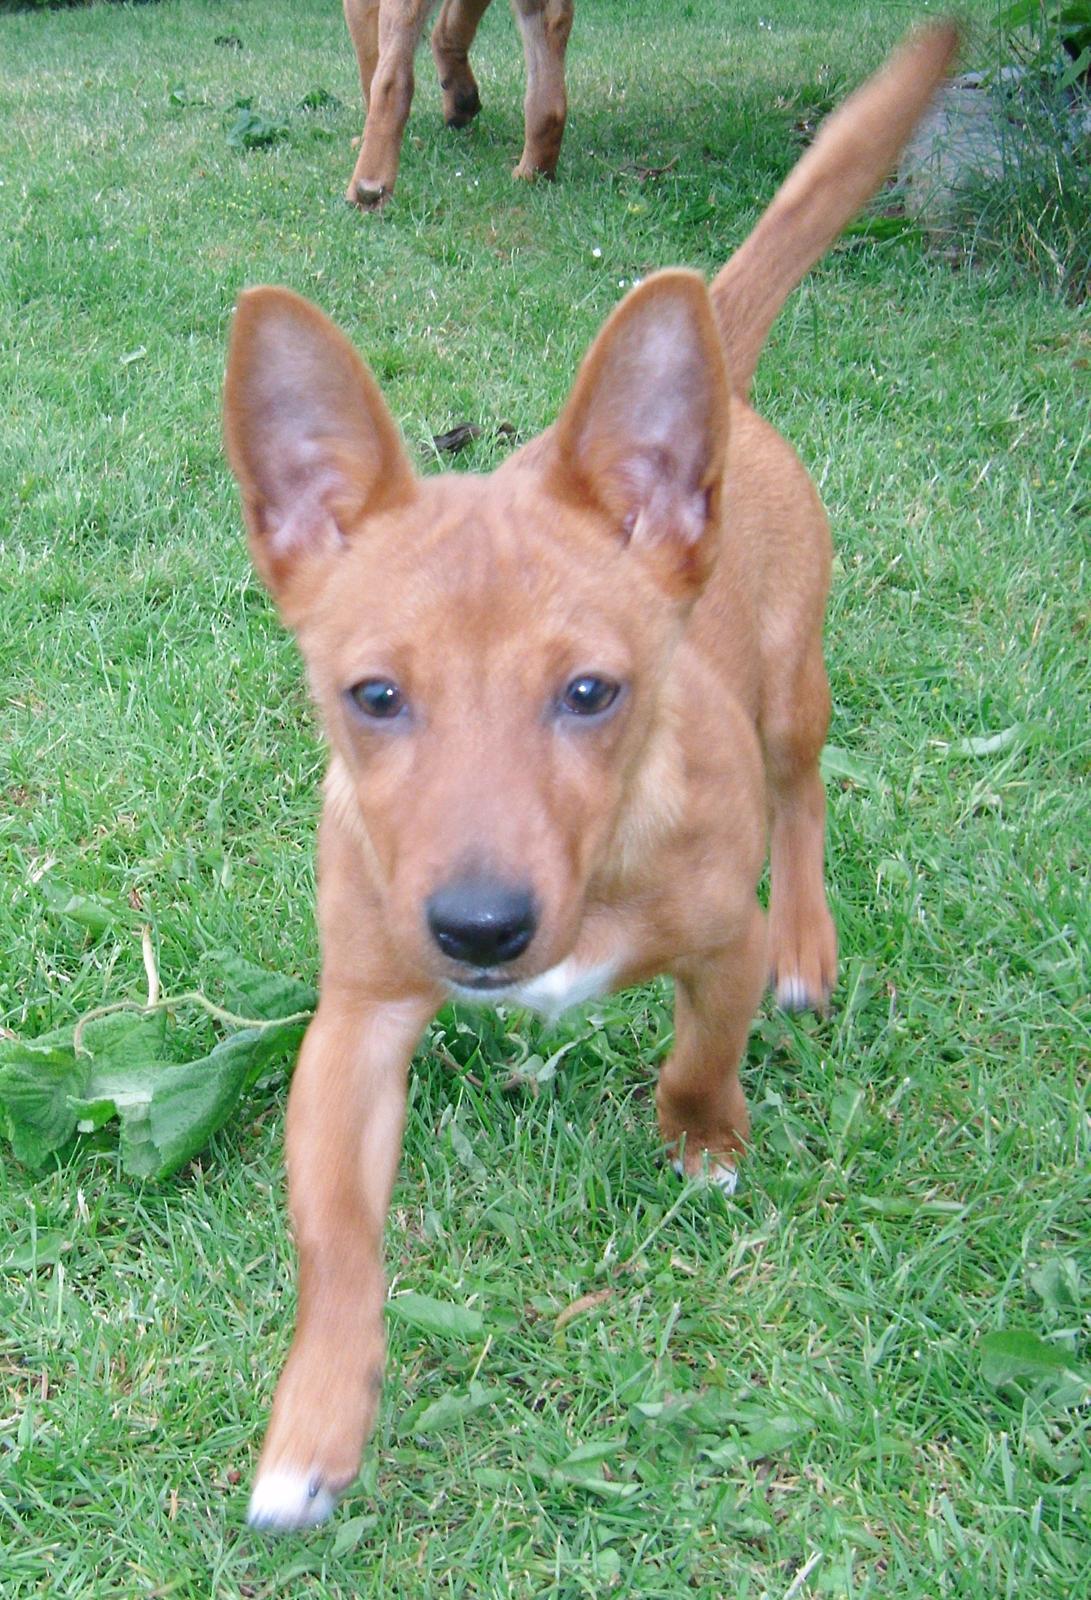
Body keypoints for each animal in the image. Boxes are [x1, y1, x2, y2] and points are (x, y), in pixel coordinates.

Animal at [222, 21, 953, 1523]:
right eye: (372, 697)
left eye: (589, 694)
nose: (480, 930)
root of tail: (721, 389)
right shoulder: (355, 1021)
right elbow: (334, 1239)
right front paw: (313, 1425)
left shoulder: (715, 947)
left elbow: (697, 1057)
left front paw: (705, 1145)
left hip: (792, 690)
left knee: (803, 794)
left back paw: (811, 941)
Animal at [343, 0, 572, 208]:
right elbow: (451, 26)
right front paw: (461, 98)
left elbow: (369, 69)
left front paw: (362, 140)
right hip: (542, 18)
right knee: (549, 108)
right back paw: (530, 175)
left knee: (391, 82)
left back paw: (368, 188)